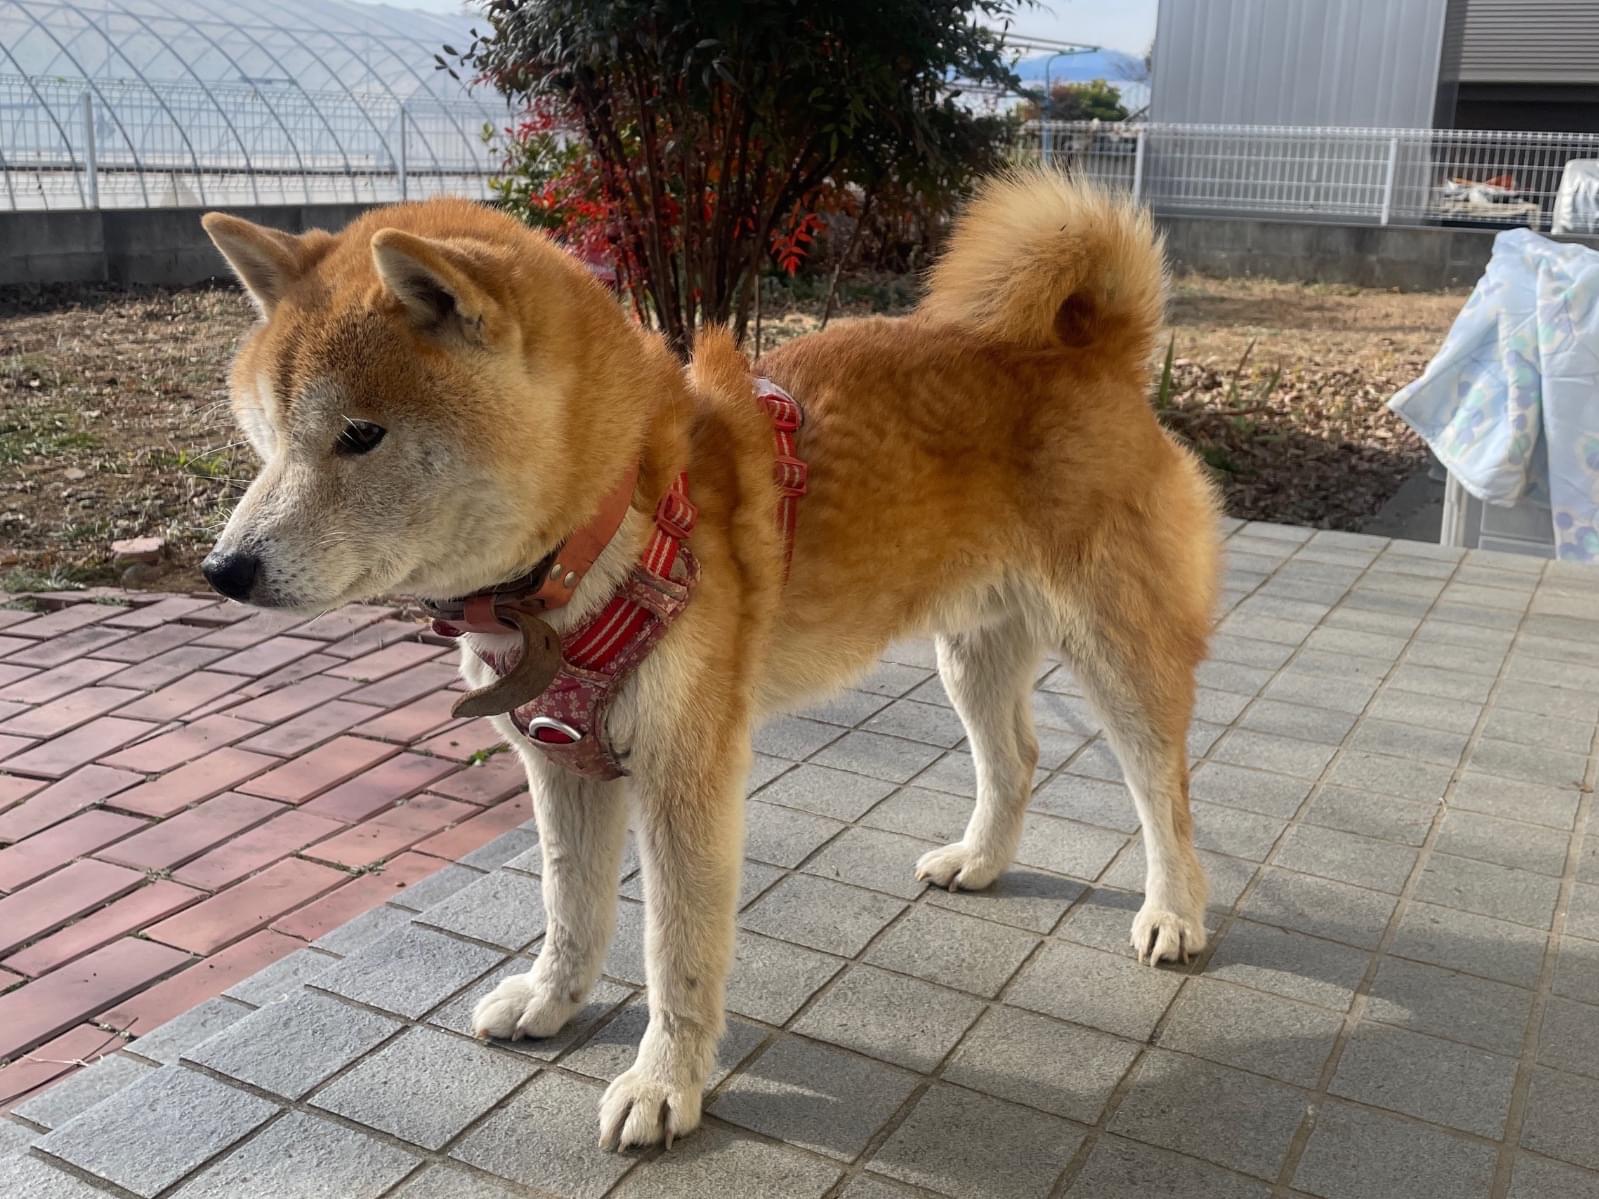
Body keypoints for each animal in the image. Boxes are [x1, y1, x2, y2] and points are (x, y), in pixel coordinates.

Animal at [199, 170, 1219, 1150]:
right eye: (266, 436)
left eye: (359, 435)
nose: (222, 570)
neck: (607, 530)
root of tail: (1094, 351)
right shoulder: (559, 762)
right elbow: (569, 904)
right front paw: (552, 999)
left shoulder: (687, 776)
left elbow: (675, 953)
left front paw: (664, 1085)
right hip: (970, 650)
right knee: (1016, 759)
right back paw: (979, 859)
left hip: (1116, 653)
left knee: (1162, 788)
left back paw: (1173, 912)